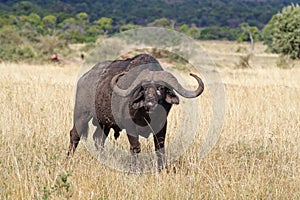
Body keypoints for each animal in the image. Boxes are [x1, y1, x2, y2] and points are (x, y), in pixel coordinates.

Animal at [67, 54, 204, 171]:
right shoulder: (130, 127)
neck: (147, 115)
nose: (150, 105)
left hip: (104, 123)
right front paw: (134, 169)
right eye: (143, 88)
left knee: (98, 139)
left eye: (160, 88)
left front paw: (161, 168)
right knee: (75, 135)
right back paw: (69, 158)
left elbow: (159, 148)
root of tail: (83, 78)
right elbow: (135, 148)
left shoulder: (162, 126)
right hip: (81, 114)